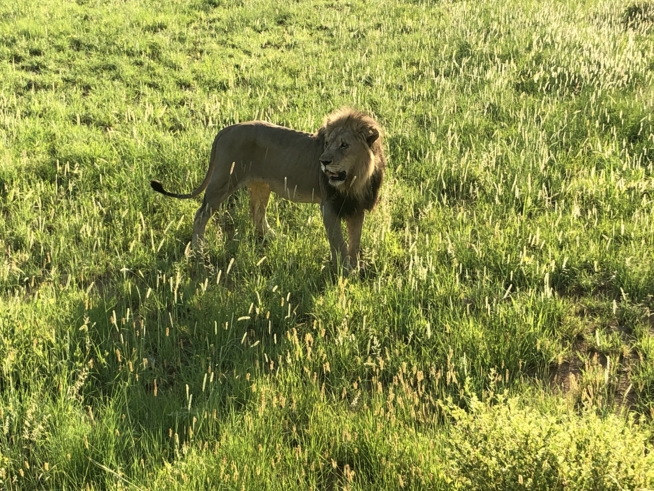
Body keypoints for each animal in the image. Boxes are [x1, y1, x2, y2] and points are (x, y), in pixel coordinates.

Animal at [151, 107, 386, 270]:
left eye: (344, 145)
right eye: (327, 143)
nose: (323, 161)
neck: (355, 179)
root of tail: (226, 130)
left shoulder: (358, 207)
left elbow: (355, 241)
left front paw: (354, 269)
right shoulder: (328, 206)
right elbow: (338, 242)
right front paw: (343, 270)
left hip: (260, 185)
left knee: (257, 215)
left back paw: (275, 238)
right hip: (224, 181)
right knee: (201, 214)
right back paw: (199, 251)